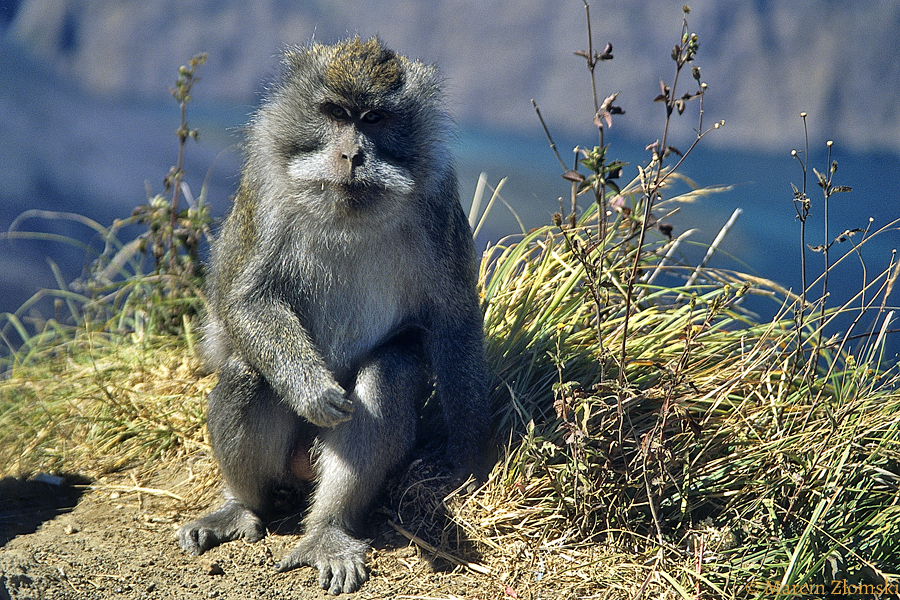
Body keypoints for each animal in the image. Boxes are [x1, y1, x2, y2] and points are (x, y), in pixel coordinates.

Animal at [177, 37, 492, 596]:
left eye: (374, 118)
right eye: (335, 114)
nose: (352, 155)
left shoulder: (438, 204)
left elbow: (453, 320)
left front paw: (471, 453)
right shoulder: (266, 194)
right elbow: (245, 301)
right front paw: (313, 391)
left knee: (390, 372)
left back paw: (328, 528)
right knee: (247, 374)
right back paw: (241, 506)